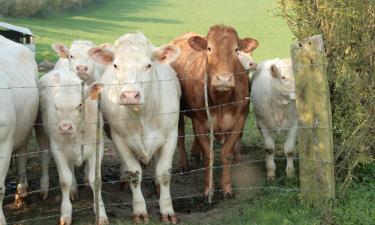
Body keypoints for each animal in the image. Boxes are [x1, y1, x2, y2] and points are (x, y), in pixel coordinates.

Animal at [38, 70, 107, 225]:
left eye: (80, 105)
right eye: (56, 106)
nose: (65, 127)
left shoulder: (97, 148)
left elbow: (96, 180)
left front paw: (100, 213)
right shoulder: (57, 150)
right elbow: (65, 181)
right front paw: (66, 213)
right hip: (42, 135)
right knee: (44, 155)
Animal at [89, 32, 181, 224]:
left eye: (148, 65)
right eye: (115, 65)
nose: (130, 95)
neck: (142, 116)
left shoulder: (171, 135)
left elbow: (164, 172)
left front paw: (167, 210)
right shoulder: (119, 139)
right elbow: (134, 174)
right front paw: (139, 210)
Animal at [173, 25, 258, 197]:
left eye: (236, 49)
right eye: (209, 48)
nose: (224, 79)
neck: (220, 101)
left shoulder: (239, 121)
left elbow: (226, 152)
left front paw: (226, 187)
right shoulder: (198, 121)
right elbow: (208, 154)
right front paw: (208, 189)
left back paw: (195, 154)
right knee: (181, 134)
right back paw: (184, 164)